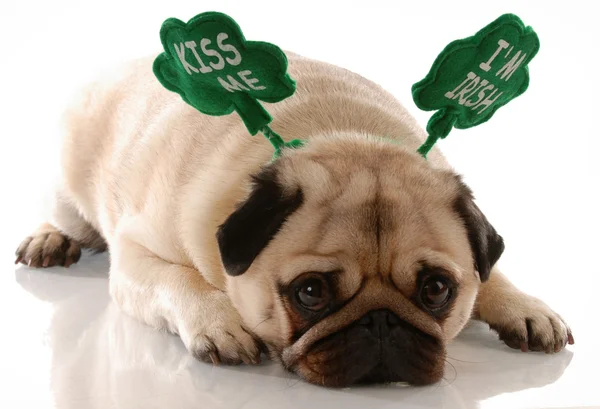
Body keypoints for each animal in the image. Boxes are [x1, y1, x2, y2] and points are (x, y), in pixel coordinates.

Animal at [15, 53, 572, 386]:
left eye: (437, 290)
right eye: (310, 293)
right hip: (71, 191)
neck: (344, 135)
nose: (382, 321)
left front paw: (521, 306)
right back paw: (50, 238)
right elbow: (180, 281)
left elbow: (489, 271)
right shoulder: (135, 255)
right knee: (66, 215)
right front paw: (220, 322)